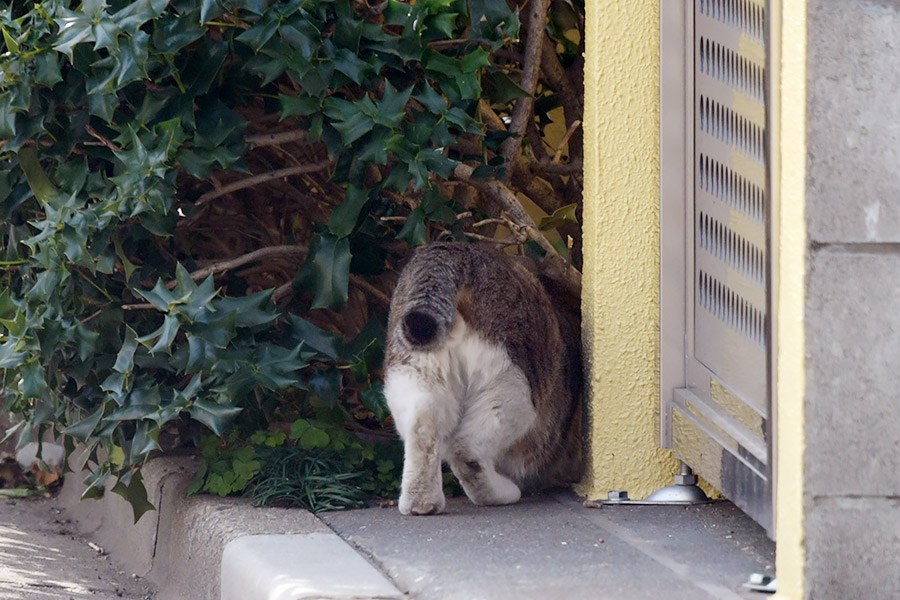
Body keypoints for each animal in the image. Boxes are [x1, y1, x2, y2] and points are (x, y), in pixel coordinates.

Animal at [382, 244, 580, 516]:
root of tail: (458, 252)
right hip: (513, 387)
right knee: (466, 449)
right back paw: (501, 493)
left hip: (414, 372)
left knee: (422, 428)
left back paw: (421, 502)